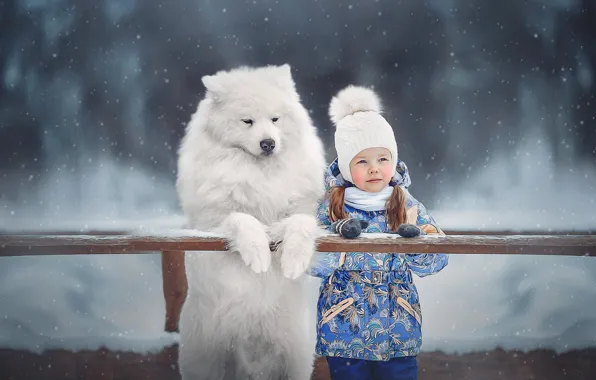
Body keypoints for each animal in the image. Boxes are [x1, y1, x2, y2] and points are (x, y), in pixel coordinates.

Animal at [176, 63, 326, 378]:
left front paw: (293, 260)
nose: (268, 143)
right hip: (209, 357)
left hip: (294, 357)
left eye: (275, 119)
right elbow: (243, 220)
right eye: (247, 121)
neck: (260, 172)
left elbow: (299, 224)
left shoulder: (304, 211)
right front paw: (258, 255)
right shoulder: (211, 222)